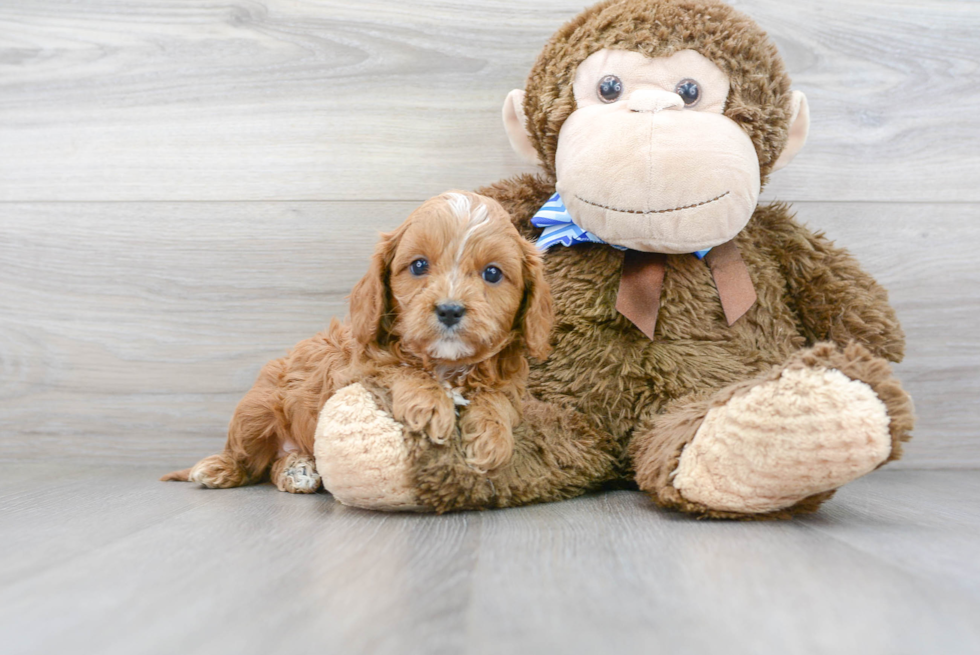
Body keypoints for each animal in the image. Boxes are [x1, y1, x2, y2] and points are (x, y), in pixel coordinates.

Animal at [165, 190, 556, 492]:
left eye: (492, 273)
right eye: (418, 266)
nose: (449, 310)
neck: (445, 365)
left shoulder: (509, 384)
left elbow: (497, 399)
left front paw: (493, 437)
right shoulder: (351, 373)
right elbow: (397, 368)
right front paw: (430, 403)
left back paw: (297, 469)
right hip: (258, 408)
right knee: (248, 456)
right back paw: (219, 468)